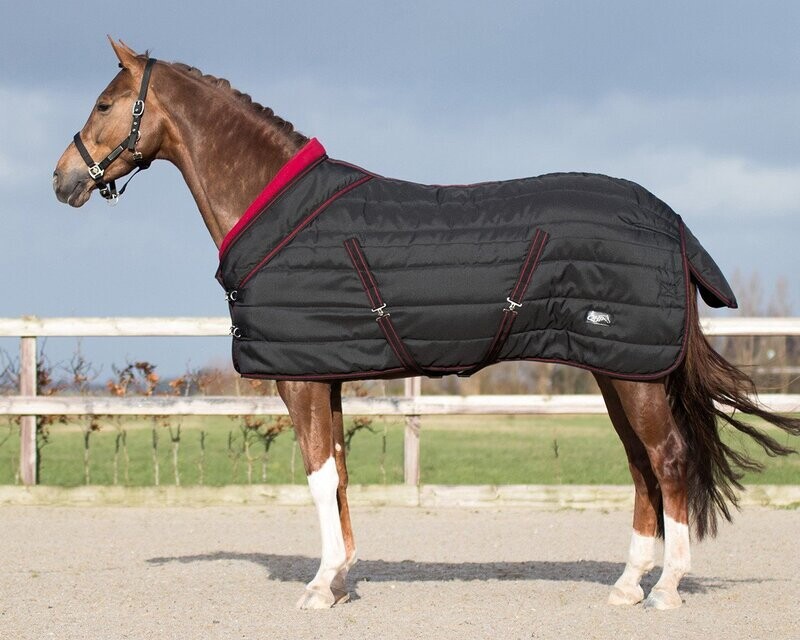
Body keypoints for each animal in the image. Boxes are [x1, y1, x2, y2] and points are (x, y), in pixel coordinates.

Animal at [53, 39, 800, 611]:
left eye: (104, 103)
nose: (62, 180)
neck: (279, 211)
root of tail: (670, 221)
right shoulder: (326, 376)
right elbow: (339, 475)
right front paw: (342, 579)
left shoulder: (300, 379)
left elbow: (318, 476)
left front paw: (319, 588)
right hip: (618, 371)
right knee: (642, 466)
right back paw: (624, 586)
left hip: (631, 372)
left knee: (667, 459)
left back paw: (665, 589)